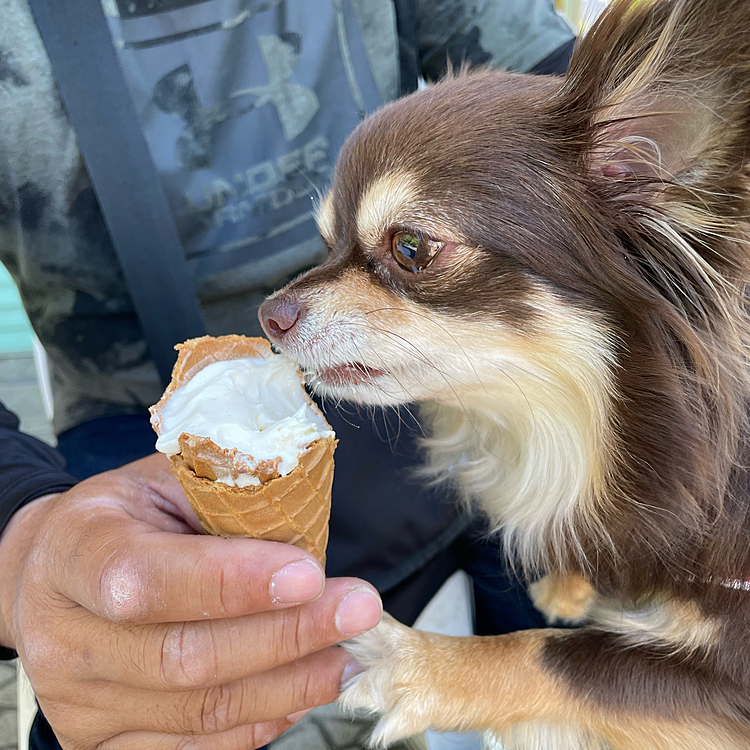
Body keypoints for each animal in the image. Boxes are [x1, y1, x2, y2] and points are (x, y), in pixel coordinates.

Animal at [262, 2, 750, 748]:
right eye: (325, 243)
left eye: (411, 247)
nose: (268, 315)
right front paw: (571, 582)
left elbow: (561, 655)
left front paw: (413, 661)